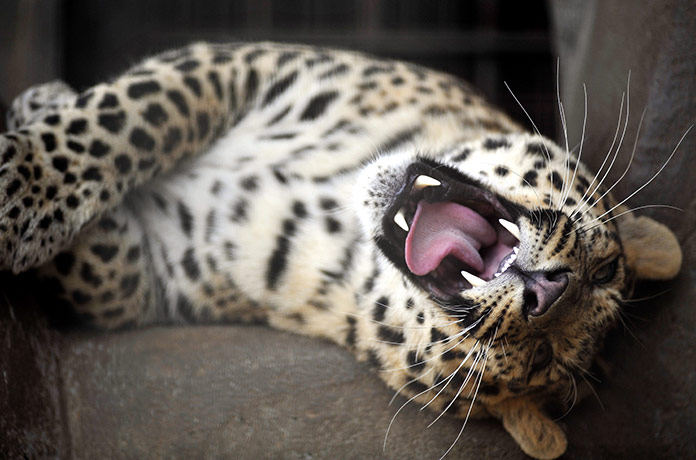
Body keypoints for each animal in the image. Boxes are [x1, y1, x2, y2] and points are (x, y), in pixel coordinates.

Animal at [0, 42, 682, 459]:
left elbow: (99, 272)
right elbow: (124, 118)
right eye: (603, 271)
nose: (548, 293)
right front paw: (23, 176)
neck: (336, 214)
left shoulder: (149, 275)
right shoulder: (237, 66)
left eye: (540, 360)